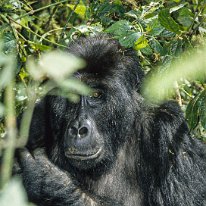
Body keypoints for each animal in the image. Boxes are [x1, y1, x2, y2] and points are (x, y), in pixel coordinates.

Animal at [16, 34, 205, 205]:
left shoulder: (169, 130)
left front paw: (48, 180)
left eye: (96, 95)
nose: (78, 129)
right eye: (71, 94)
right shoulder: (32, 122)